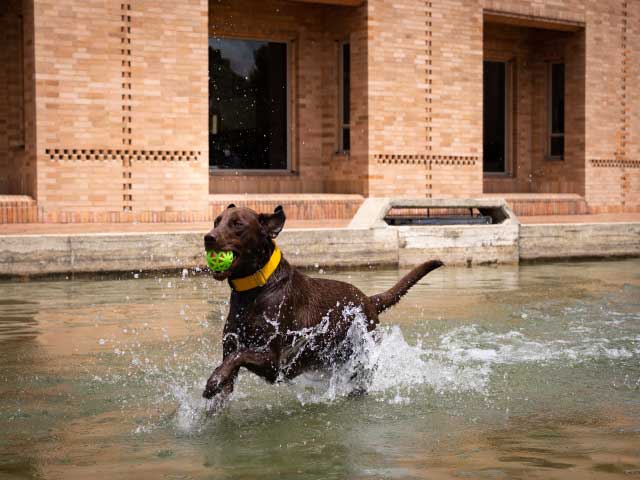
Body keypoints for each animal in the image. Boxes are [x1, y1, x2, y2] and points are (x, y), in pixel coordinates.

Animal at [202, 205, 442, 402]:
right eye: (216, 221)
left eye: (238, 224)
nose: (208, 237)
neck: (255, 289)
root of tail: (368, 299)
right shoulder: (233, 347)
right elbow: (229, 369)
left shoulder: (276, 362)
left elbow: (239, 356)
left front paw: (213, 381)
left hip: (362, 356)